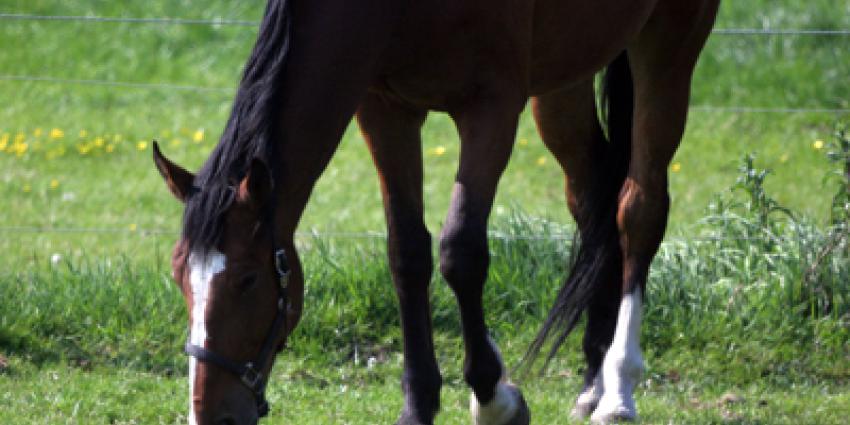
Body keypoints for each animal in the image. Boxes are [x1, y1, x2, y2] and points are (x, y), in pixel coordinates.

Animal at [151, 0, 719, 423]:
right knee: (593, 199)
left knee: (639, 209)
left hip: (669, 42)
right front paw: (418, 405)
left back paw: (618, 389)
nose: (210, 414)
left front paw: (495, 399)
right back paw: (592, 380)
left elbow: (460, 251)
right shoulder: (386, 111)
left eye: (247, 280)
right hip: (566, 76)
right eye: (179, 275)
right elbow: (407, 253)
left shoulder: (491, 108)